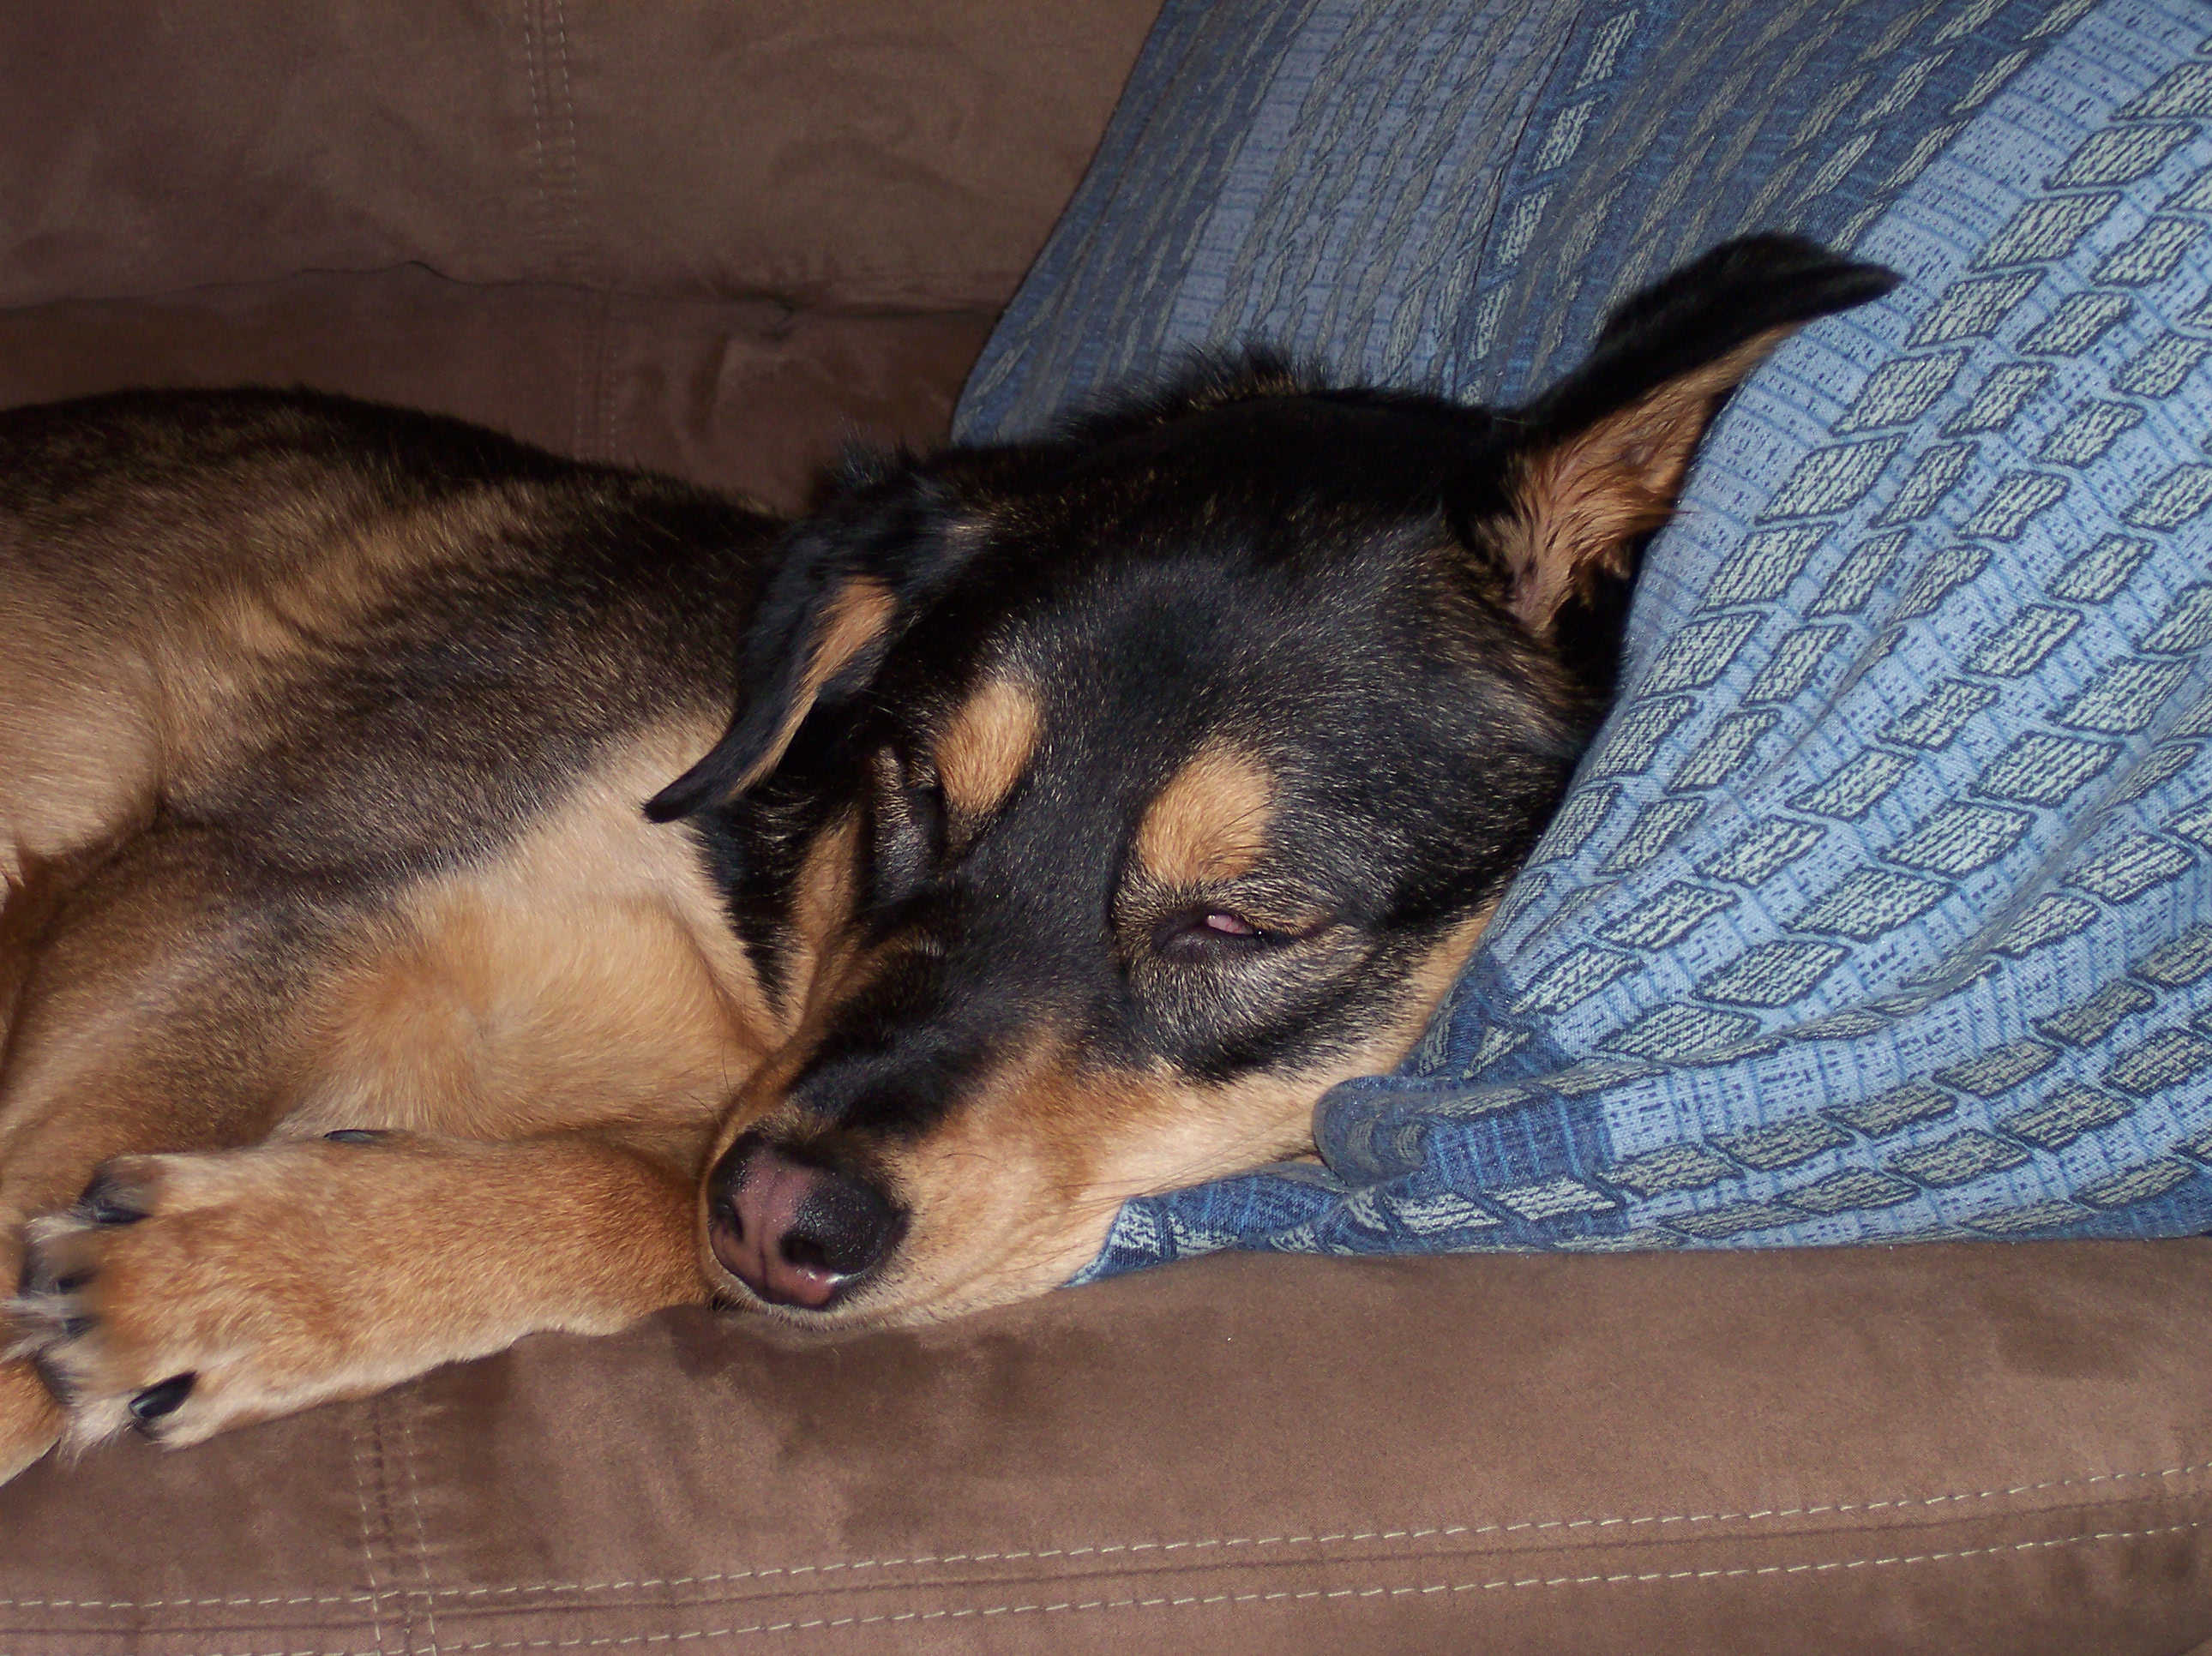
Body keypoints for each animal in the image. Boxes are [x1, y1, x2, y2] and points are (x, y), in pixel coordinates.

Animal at [0, 235, 1895, 1483]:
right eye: (917, 781)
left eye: (1239, 920)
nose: (779, 1222)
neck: (758, 923)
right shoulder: (253, 877)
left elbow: (641, 1192)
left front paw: (228, 1278)